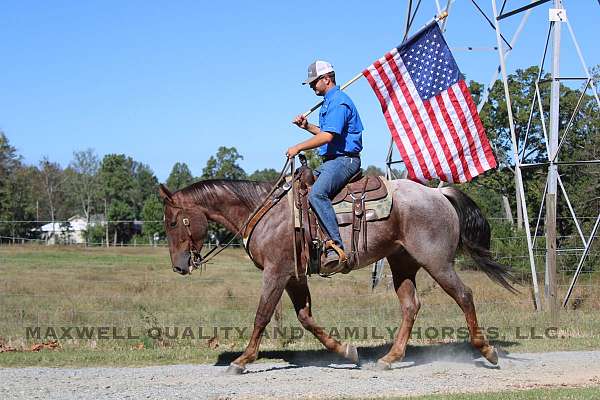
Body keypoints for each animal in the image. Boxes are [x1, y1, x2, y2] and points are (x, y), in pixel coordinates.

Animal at [158, 176, 516, 376]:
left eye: (173, 222)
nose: (179, 266)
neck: (264, 212)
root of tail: (438, 194)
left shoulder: (276, 272)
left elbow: (262, 316)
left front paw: (242, 360)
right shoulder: (294, 276)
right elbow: (306, 318)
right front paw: (346, 350)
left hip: (437, 261)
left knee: (464, 295)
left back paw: (487, 351)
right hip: (402, 263)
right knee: (410, 306)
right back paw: (389, 358)